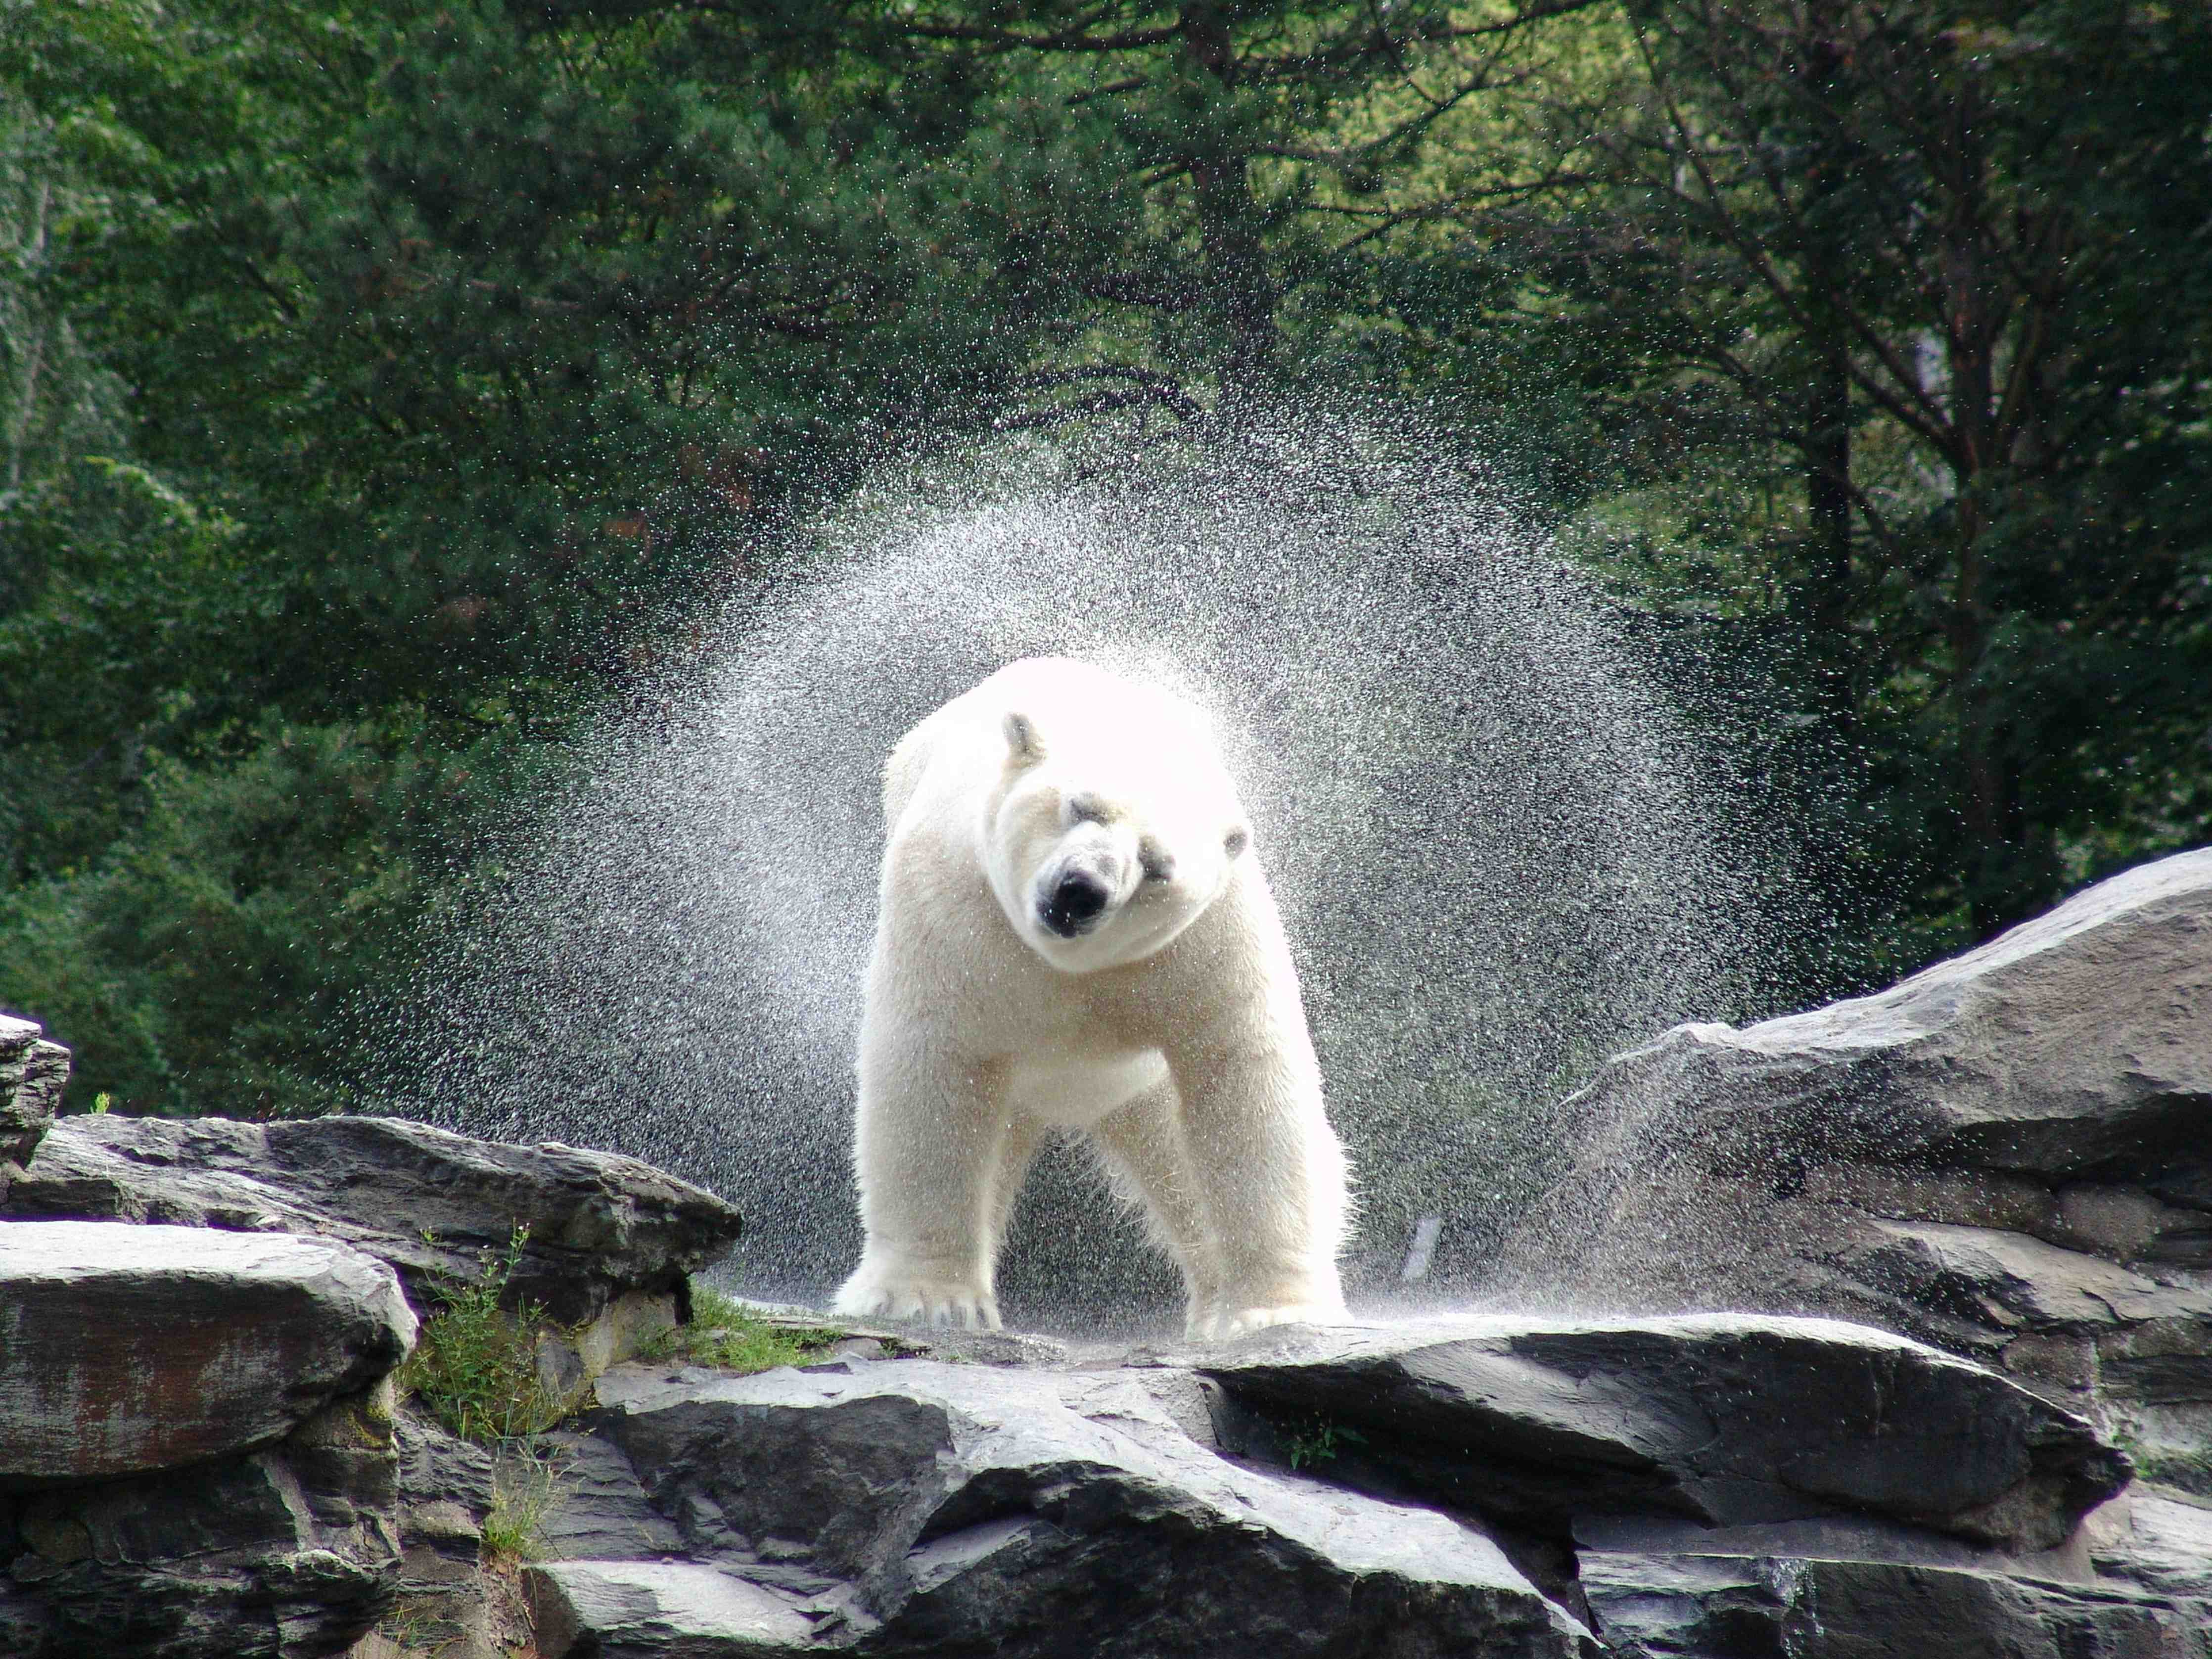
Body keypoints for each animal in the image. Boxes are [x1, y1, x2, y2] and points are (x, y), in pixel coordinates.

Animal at [832, 657, 1351, 1340]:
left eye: (1157, 866)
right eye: (1080, 806)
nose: (1081, 891)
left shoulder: (1203, 944)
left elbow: (1240, 1076)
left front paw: (1275, 1313)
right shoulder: (954, 909)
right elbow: (935, 1070)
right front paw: (923, 1298)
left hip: (1135, 1086)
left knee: (1175, 1157)